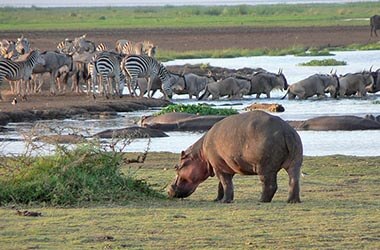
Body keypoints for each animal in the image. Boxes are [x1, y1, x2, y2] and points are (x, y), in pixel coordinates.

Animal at [168, 111, 304, 203]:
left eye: (177, 167)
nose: (168, 190)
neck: (200, 154)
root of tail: (286, 130)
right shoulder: (223, 166)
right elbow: (221, 185)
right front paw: (217, 199)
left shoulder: (218, 167)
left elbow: (226, 184)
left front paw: (224, 201)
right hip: (295, 161)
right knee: (294, 180)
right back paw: (292, 201)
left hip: (265, 167)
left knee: (270, 185)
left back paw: (261, 200)